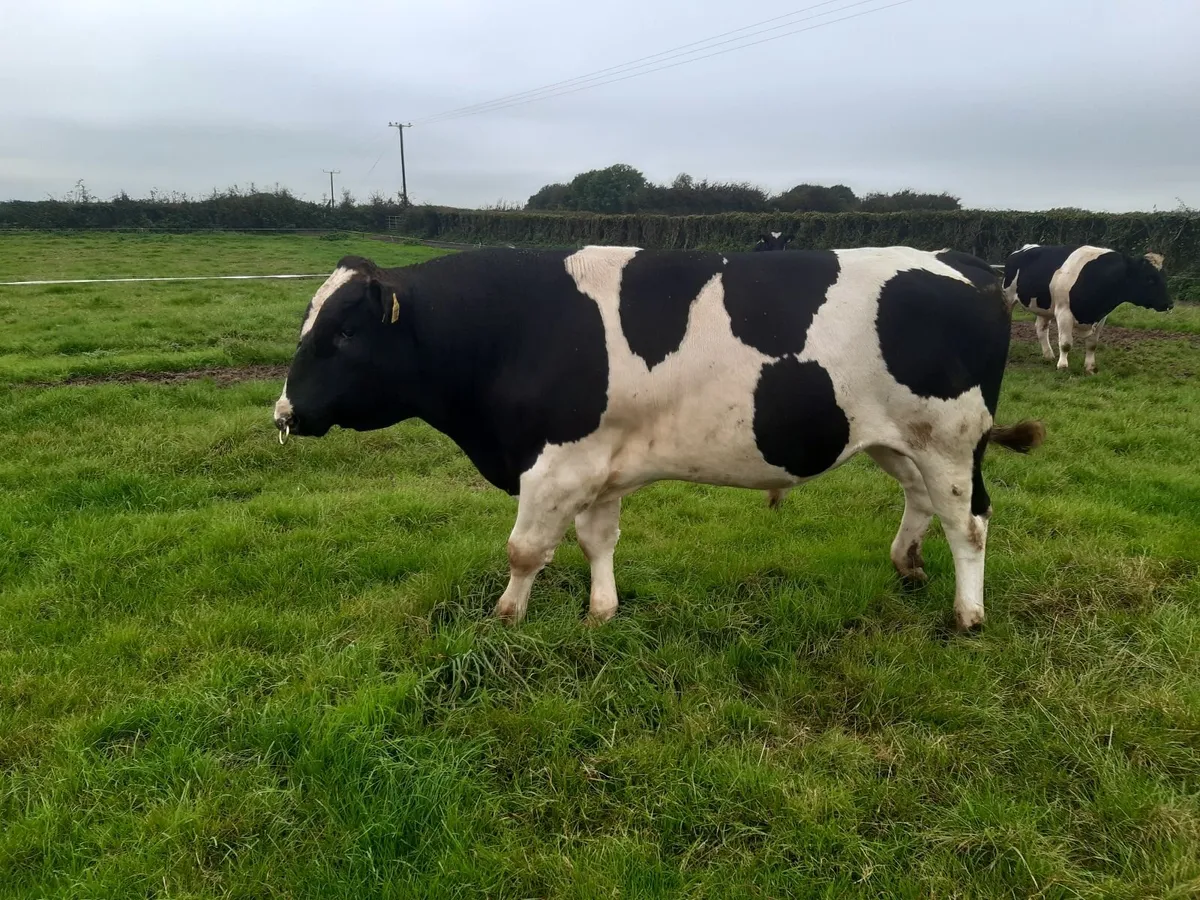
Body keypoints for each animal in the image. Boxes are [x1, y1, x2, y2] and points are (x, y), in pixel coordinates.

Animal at [274, 246, 1044, 632]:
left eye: (346, 332)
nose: (285, 411)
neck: (511, 324)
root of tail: (970, 269)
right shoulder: (598, 463)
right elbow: (597, 541)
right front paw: (601, 612)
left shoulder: (554, 463)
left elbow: (524, 549)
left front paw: (506, 615)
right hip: (899, 439)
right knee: (921, 501)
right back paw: (905, 564)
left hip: (951, 438)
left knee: (969, 521)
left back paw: (968, 613)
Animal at [1002, 244, 1173, 373]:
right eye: (1150, 279)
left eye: (1163, 276)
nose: (1170, 304)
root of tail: (1022, 249)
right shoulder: (1063, 312)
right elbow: (1066, 343)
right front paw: (1062, 366)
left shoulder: (1101, 316)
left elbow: (1092, 344)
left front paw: (1090, 367)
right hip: (1008, 298)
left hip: (1044, 307)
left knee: (1041, 328)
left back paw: (1048, 356)